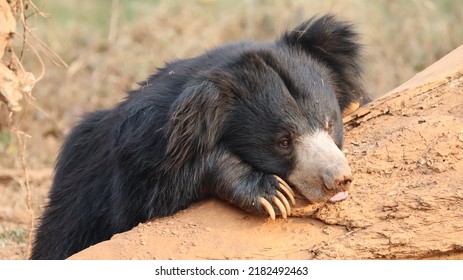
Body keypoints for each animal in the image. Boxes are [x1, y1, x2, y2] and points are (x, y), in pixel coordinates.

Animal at [30, 14, 370, 260]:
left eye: (328, 123)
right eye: (283, 141)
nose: (339, 180)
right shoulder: (139, 152)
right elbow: (145, 199)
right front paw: (270, 193)